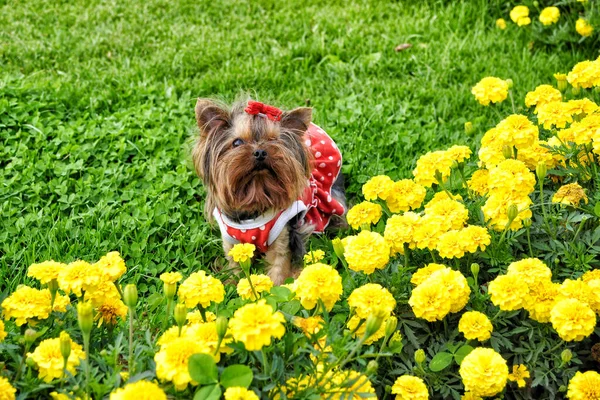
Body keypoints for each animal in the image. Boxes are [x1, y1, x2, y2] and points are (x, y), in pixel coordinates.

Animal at [192, 97, 346, 284]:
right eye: (237, 142)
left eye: (274, 140)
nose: (260, 152)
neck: (256, 192)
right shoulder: (232, 243)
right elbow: (235, 267)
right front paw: (234, 284)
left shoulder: (283, 236)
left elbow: (279, 267)